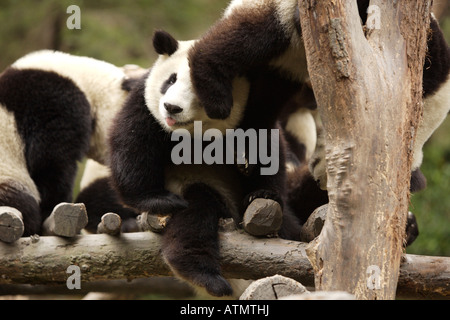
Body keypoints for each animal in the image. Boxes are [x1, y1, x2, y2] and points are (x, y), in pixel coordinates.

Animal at [107, 30, 304, 298]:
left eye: (200, 91)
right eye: (170, 80)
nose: (172, 107)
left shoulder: (252, 112)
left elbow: (269, 153)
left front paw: (261, 191)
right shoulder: (146, 106)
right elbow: (133, 143)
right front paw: (157, 198)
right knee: (196, 214)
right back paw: (207, 277)